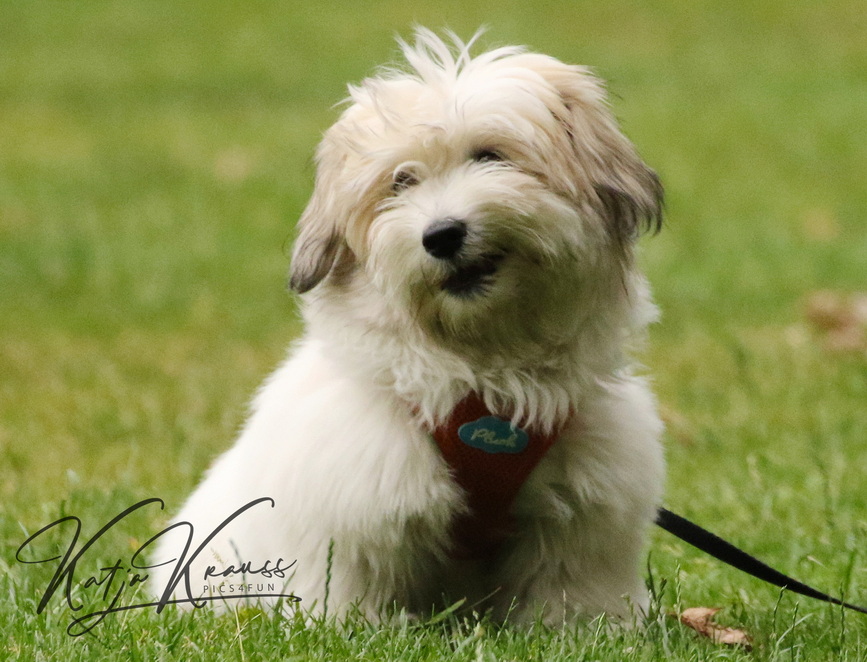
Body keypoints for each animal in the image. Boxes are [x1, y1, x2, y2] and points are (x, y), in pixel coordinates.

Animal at [149, 29, 664, 628]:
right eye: (401, 182)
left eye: (490, 155)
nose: (441, 235)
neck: (485, 381)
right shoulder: (357, 504)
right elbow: (348, 584)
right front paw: (352, 629)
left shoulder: (584, 515)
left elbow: (571, 585)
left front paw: (577, 630)